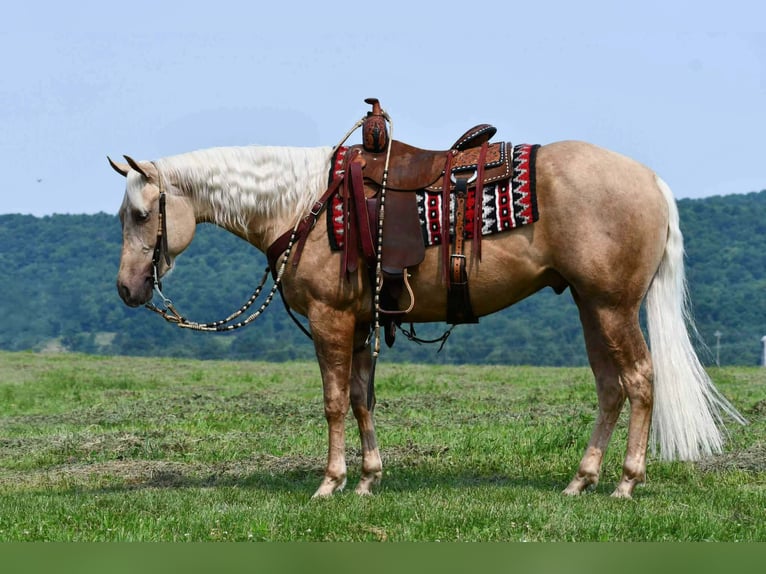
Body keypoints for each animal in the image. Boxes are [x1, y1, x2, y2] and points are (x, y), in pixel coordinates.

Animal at [109, 128, 745, 499]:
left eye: (140, 215)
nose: (126, 288)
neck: (305, 202)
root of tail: (651, 181)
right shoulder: (361, 322)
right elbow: (362, 399)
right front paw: (368, 479)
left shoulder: (330, 319)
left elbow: (334, 401)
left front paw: (330, 483)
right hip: (592, 307)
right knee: (611, 386)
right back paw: (581, 480)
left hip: (613, 307)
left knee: (639, 381)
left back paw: (626, 483)